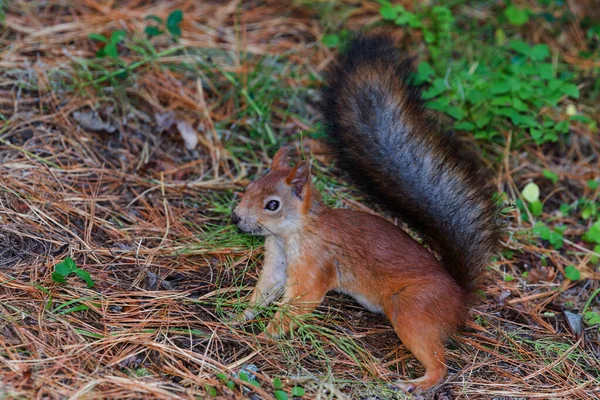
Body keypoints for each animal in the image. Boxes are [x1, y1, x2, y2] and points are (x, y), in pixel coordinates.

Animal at [227, 32, 500, 394]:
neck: (290, 234)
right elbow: (263, 294)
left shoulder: (316, 262)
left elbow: (300, 302)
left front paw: (265, 336)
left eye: (273, 204)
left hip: (412, 308)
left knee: (440, 364)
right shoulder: (277, 262)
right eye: (248, 187)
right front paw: (237, 317)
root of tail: (460, 299)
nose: (236, 218)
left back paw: (415, 384)